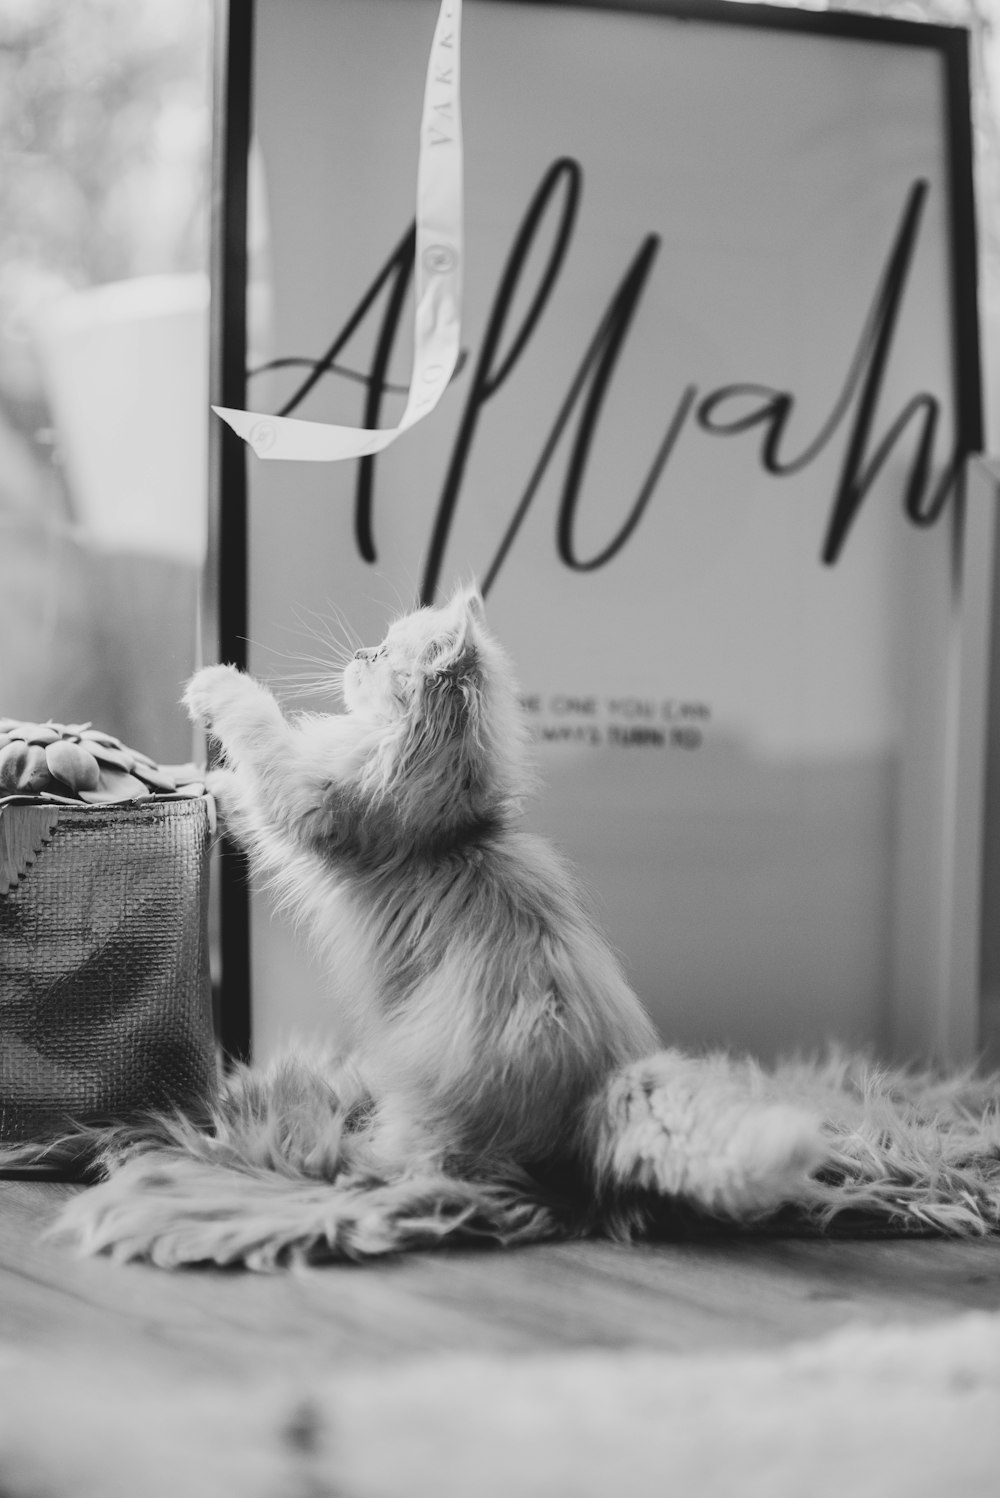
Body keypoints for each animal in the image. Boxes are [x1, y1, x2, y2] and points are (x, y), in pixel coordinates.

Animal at [46, 584, 826, 1264]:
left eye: (385, 652)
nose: (359, 650)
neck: (449, 825)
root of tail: (597, 1093)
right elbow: (240, 789)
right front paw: (195, 776)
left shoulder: (311, 799)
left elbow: (260, 737)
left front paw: (215, 688)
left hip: (424, 1114)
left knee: (411, 1170)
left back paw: (323, 1157)